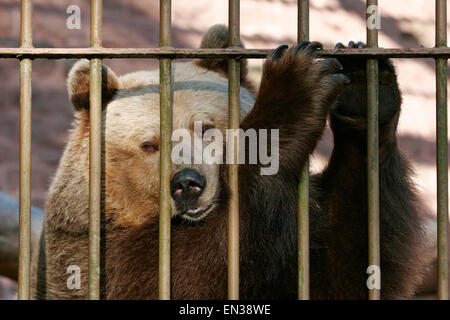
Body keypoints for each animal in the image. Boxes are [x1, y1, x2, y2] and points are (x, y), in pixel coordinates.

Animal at [30, 25, 428, 300]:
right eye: (149, 145)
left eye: (207, 128)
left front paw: (362, 86)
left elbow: (346, 270)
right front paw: (294, 82)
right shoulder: (92, 253)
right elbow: (199, 269)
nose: (187, 184)